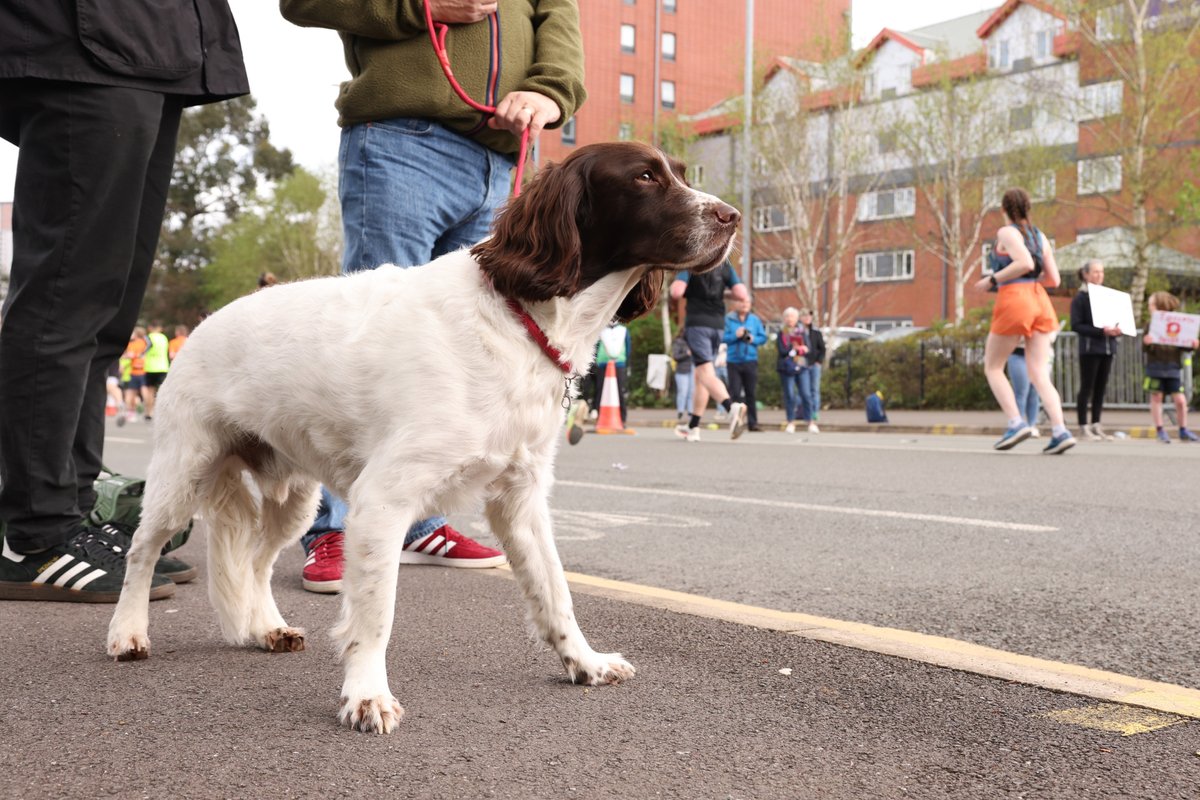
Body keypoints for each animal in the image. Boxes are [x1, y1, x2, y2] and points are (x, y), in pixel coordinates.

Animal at [108, 142, 739, 734]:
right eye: (645, 176)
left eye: (682, 172)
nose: (731, 217)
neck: (517, 321)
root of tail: (207, 321)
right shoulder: (382, 501)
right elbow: (375, 614)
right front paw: (366, 695)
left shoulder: (522, 500)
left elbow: (556, 592)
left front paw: (583, 662)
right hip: (182, 473)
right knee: (142, 551)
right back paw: (127, 632)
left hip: (293, 497)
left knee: (257, 562)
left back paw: (266, 628)